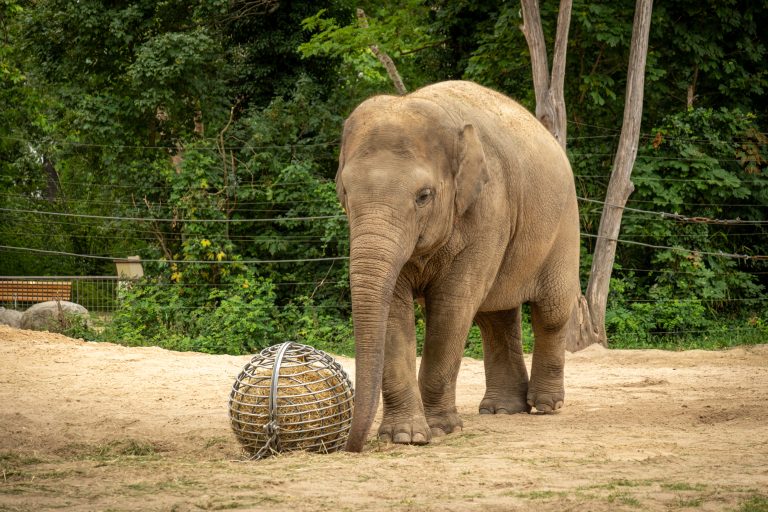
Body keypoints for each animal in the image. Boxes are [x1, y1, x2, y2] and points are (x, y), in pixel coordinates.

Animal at [336, 80, 576, 452]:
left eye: (424, 195)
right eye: (345, 192)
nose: (351, 445)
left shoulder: (489, 209)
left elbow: (452, 305)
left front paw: (440, 430)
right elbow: (394, 307)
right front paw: (405, 436)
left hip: (563, 225)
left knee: (551, 311)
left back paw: (547, 405)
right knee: (495, 317)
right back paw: (502, 410)